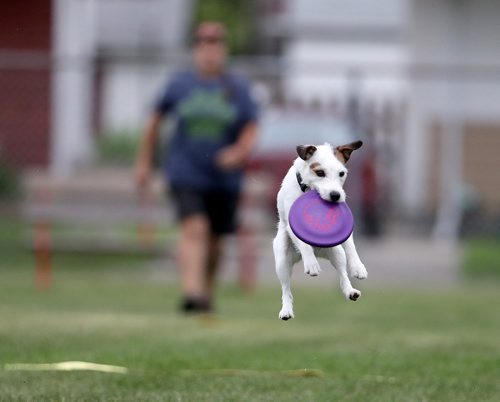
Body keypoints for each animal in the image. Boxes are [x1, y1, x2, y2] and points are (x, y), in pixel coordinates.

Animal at [274, 141, 368, 320]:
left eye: (341, 173)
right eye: (320, 172)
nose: (335, 195)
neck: (308, 188)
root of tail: (319, 251)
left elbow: (350, 246)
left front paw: (358, 267)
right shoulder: (291, 225)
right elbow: (304, 243)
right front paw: (311, 264)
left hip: (336, 252)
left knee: (342, 274)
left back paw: (350, 291)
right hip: (282, 260)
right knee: (286, 288)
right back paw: (286, 310)